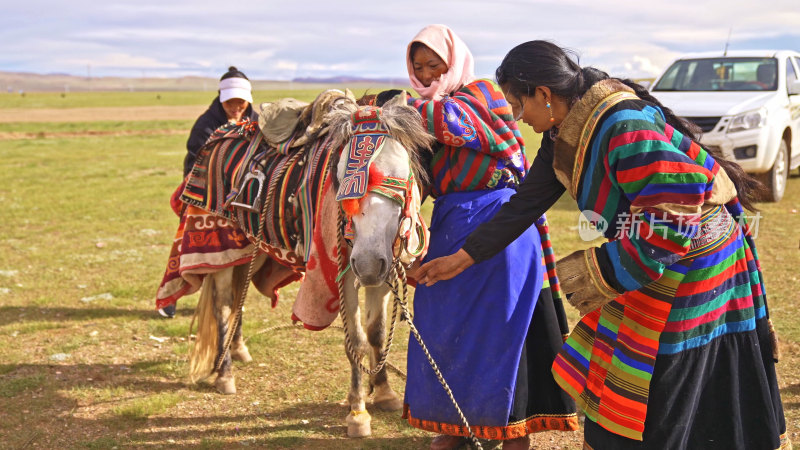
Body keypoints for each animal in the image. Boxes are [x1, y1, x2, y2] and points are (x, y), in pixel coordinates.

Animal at [155, 89, 432, 438]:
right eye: (340, 175)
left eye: (403, 173)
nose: (367, 263)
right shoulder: (342, 274)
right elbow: (355, 340)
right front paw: (357, 411)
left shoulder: (383, 271)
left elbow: (377, 333)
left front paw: (384, 393)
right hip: (218, 248)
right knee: (222, 306)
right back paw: (225, 374)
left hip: (248, 248)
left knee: (238, 298)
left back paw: (238, 350)